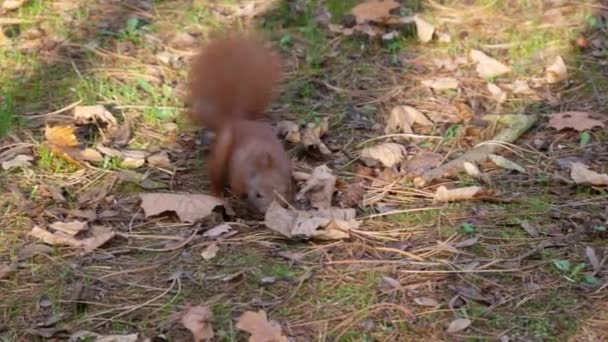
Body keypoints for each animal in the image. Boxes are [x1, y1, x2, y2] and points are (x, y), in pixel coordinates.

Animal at [185, 32, 294, 214]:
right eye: (258, 194)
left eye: (280, 194)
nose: (268, 209)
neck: (265, 165)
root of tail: (237, 120)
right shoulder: (239, 174)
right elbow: (236, 187)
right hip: (221, 152)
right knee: (216, 177)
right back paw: (217, 193)